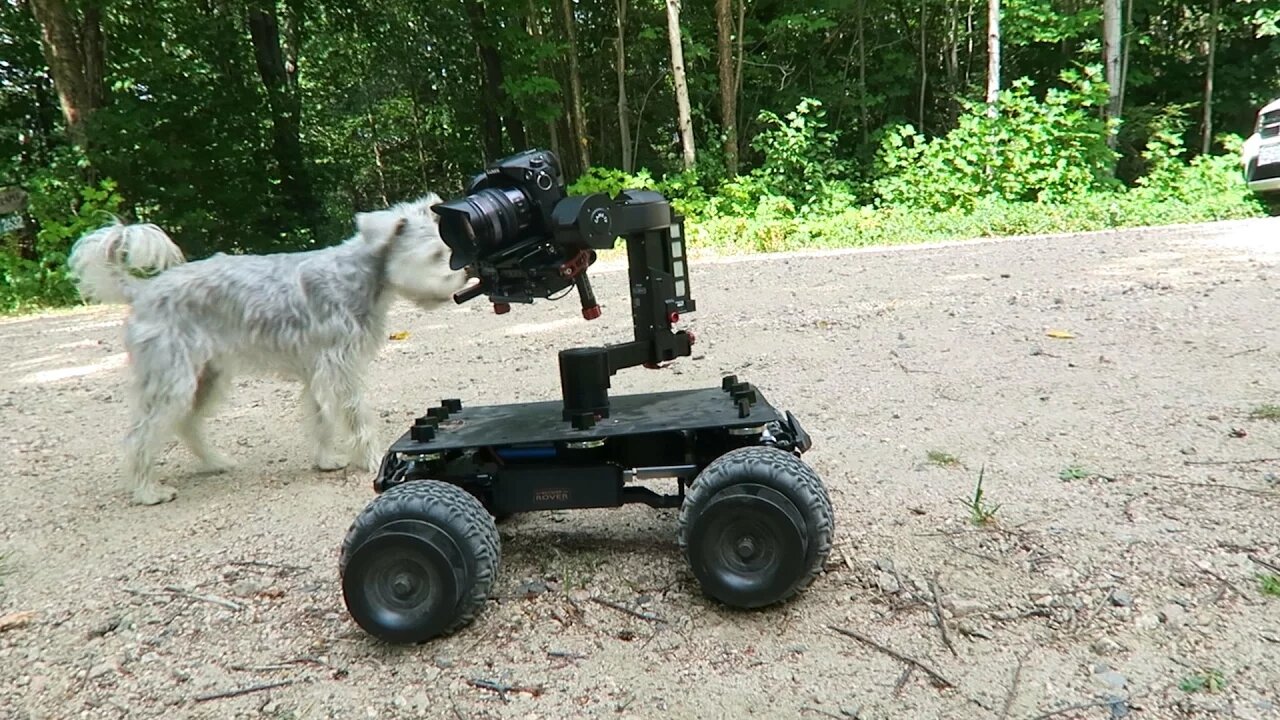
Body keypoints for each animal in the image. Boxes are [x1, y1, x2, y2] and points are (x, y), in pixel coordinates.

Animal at [67, 193, 468, 502]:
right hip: (171, 382)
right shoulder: (340, 372)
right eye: (434, 254)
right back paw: (147, 491)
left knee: (188, 424)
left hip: (207, 378)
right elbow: (357, 420)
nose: (463, 272)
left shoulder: (318, 376)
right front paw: (370, 460)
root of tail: (143, 291)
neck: (360, 275)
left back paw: (215, 462)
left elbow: (321, 421)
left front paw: (326, 460)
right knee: (140, 436)